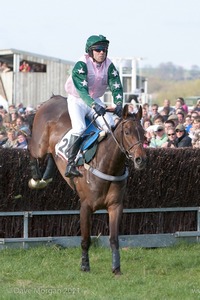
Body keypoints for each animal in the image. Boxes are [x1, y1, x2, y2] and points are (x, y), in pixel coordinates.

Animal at [28, 95, 147, 274]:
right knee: (33, 152)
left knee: (51, 156)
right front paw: (85, 265)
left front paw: (116, 268)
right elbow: (85, 239)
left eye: (143, 132)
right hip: (39, 144)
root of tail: (53, 99)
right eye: (127, 132)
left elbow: (114, 239)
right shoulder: (86, 206)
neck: (106, 164)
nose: (141, 159)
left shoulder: (115, 206)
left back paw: (46, 176)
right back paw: (37, 179)